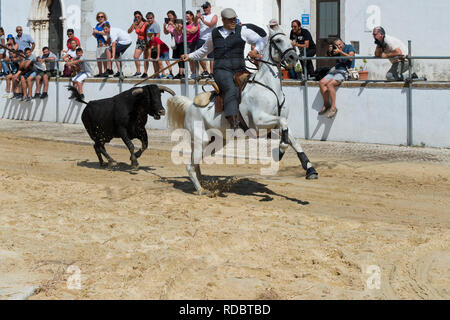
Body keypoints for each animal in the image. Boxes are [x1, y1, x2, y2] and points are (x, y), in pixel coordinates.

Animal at [167, 25, 318, 194]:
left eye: (291, 40)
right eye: (278, 40)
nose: (293, 58)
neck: (269, 87)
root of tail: (190, 105)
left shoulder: (275, 125)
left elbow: (293, 139)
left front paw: (310, 169)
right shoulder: (260, 121)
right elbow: (284, 126)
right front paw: (279, 152)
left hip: (216, 142)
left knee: (196, 163)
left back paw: (203, 185)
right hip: (201, 139)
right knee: (190, 165)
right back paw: (201, 190)